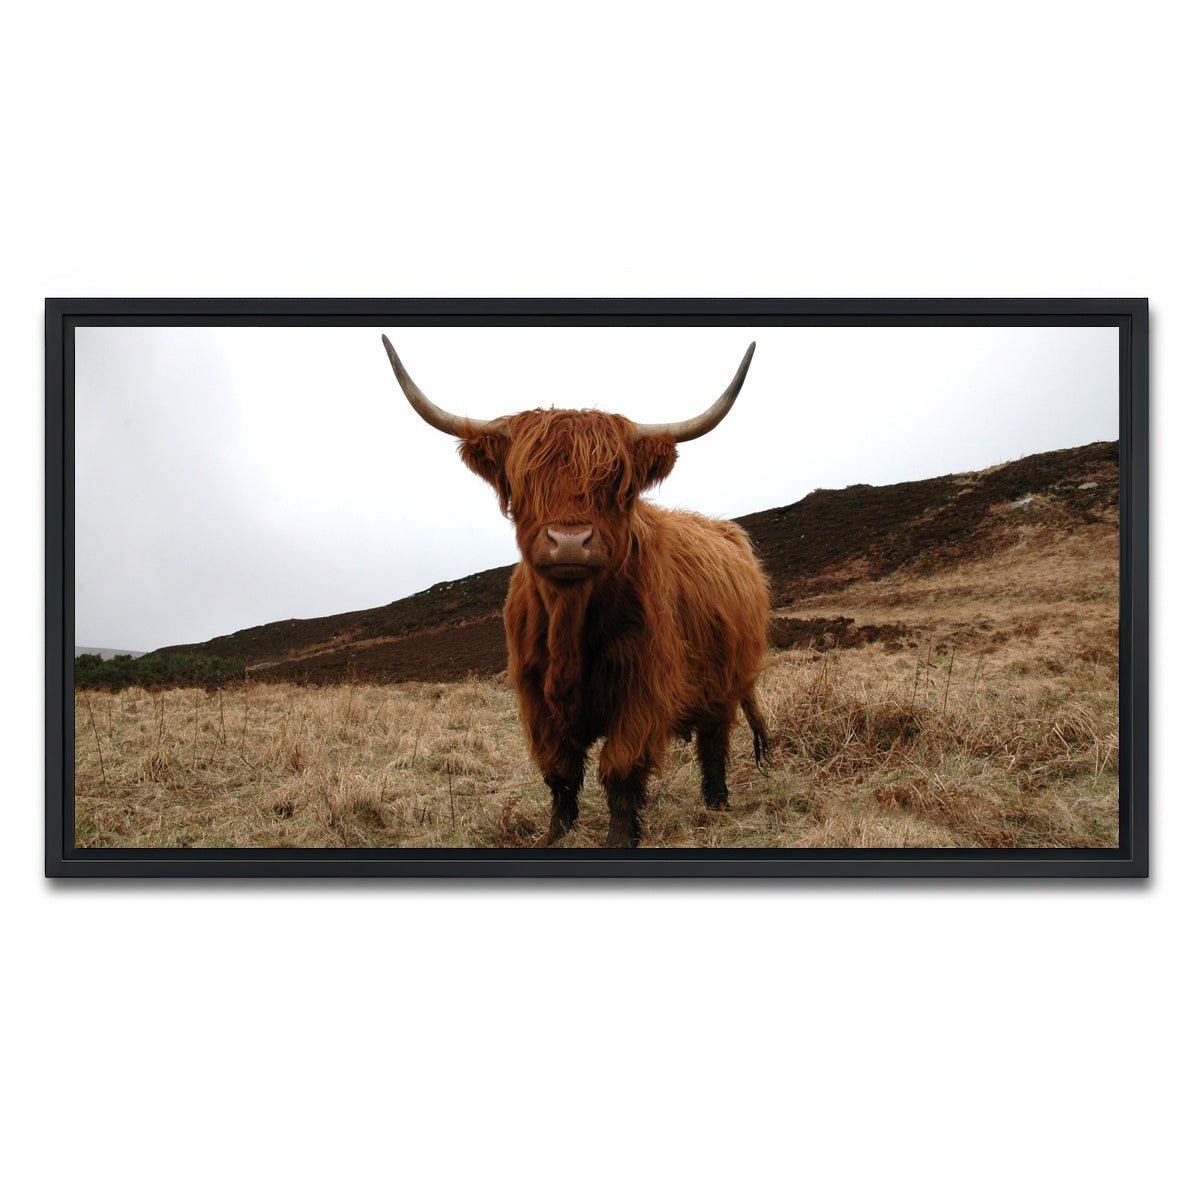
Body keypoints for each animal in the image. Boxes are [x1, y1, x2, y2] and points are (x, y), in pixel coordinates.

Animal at [383, 336, 770, 848]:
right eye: (525, 480)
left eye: (615, 483)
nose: (569, 540)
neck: (568, 626)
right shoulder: (534, 696)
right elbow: (560, 771)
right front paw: (554, 834)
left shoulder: (642, 689)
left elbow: (620, 768)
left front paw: (621, 837)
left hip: (726, 683)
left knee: (714, 742)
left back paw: (718, 803)